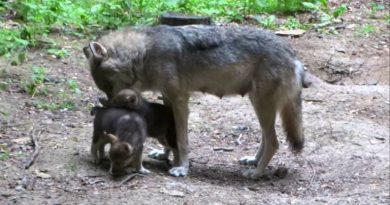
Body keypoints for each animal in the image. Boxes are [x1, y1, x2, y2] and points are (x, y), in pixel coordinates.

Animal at [84, 24, 306, 179]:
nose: (106, 108)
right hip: (259, 105)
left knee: (274, 142)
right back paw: (252, 161)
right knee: (266, 138)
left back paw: (257, 174)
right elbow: (171, 130)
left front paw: (182, 168)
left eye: (108, 86)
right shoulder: (168, 98)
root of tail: (293, 54)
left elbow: (182, 140)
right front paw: (165, 154)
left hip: (262, 106)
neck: (145, 53)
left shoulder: (180, 100)